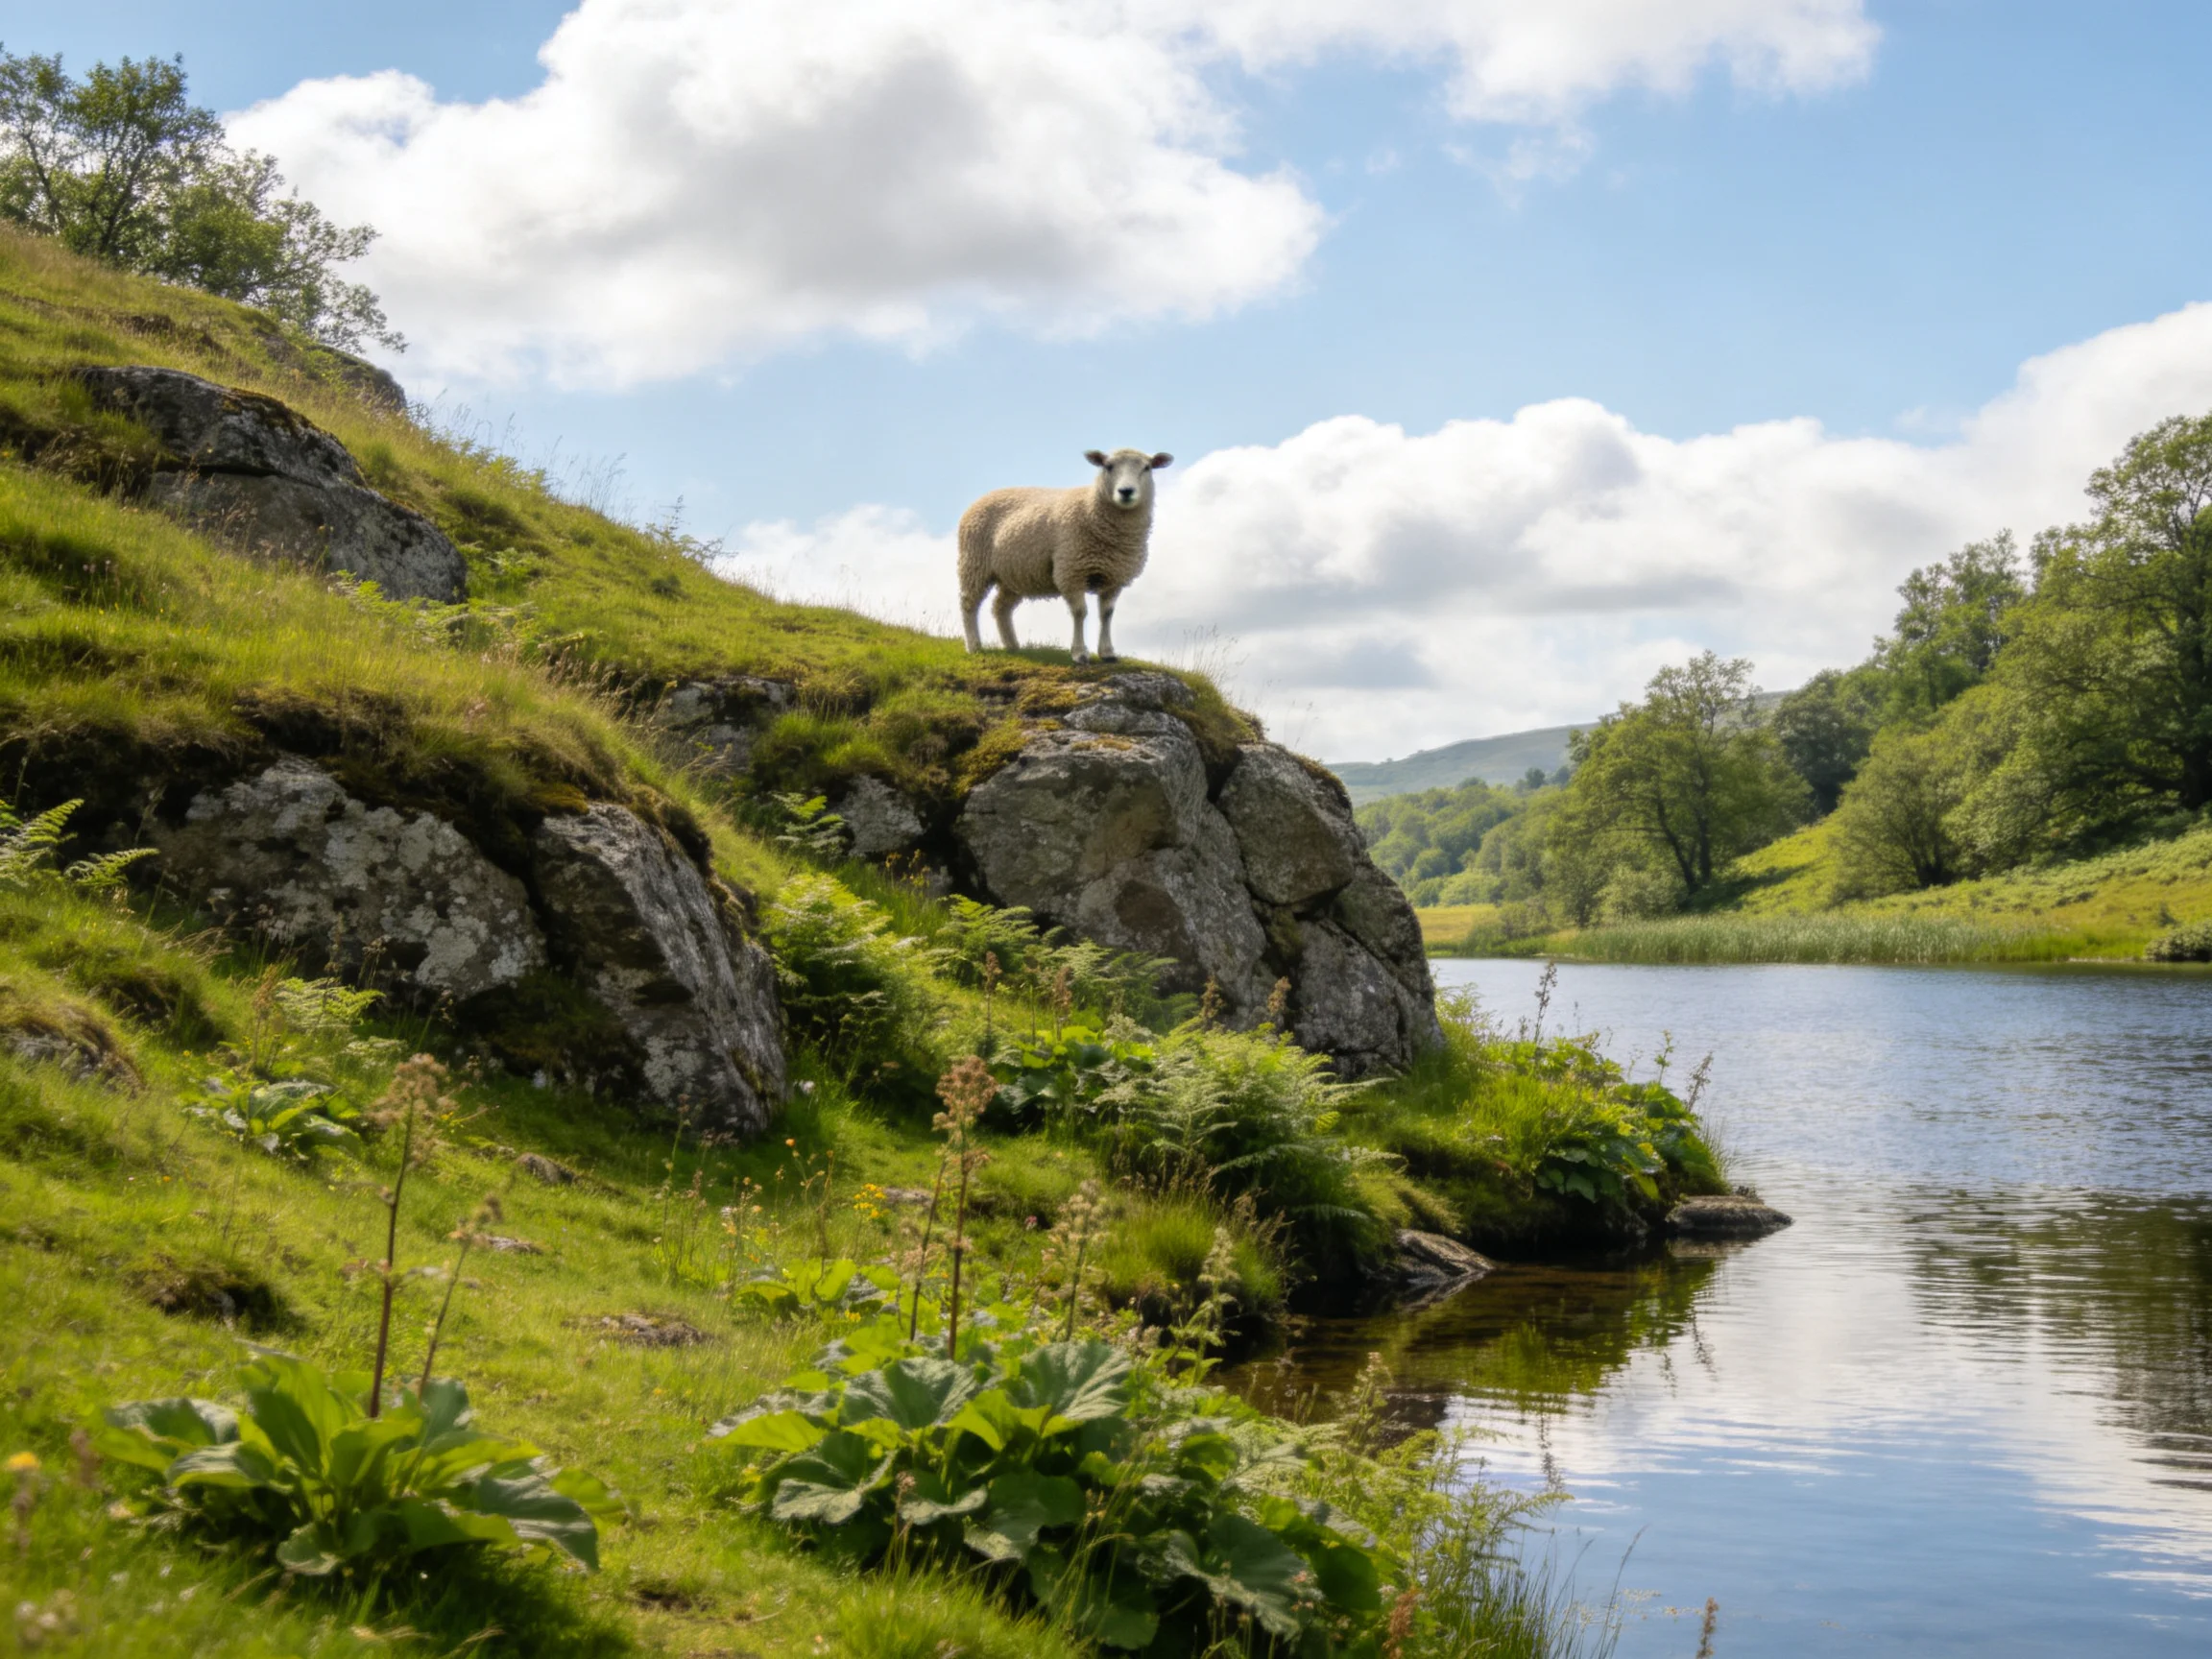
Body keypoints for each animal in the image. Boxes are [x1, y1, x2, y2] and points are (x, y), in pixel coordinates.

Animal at [957, 448, 1172, 664]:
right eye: (1108, 466)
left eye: (1147, 467)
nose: (1126, 491)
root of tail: (986, 496)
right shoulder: (1071, 571)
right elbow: (1080, 612)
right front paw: (1079, 654)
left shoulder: (1114, 577)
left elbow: (1107, 614)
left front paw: (1108, 653)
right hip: (974, 562)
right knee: (969, 603)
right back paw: (974, 646)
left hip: (1014, 574)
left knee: (1001, 607)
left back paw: (1012, 646)